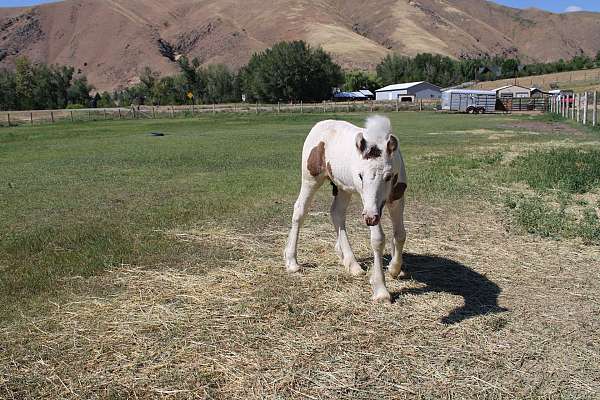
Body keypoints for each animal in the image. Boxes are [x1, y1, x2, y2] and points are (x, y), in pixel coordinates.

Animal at [284, 115, 408, 304]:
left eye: (387, 176)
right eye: (360, 175)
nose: (370, 218)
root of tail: (319, 125)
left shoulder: (397, 199)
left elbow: (400, 234)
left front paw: (395, 269)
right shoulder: (368, 203)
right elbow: (378, 239)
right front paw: (381, 290)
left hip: (343, 188)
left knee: (336, 213)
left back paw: (351, 263)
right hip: (311, 178)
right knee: (300, 211)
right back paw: (292, 262)